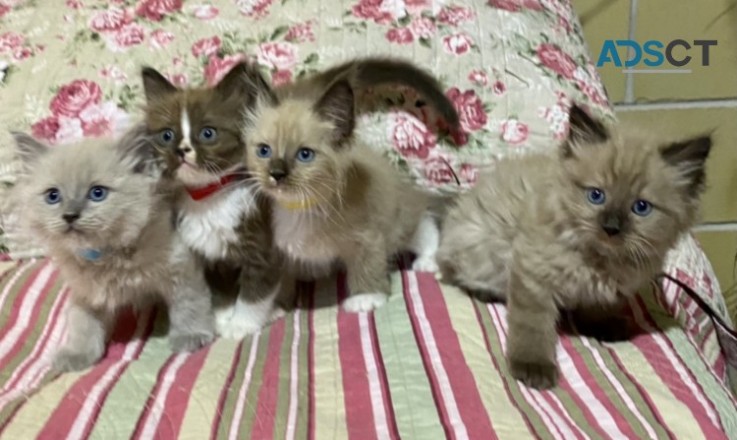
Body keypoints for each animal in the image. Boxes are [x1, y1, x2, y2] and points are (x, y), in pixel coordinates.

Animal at [10, 127, 214, 372]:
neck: (105, 255)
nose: (70, 215)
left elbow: (189, 305)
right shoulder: (86, 292)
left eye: (97, 193)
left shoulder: (181, 270)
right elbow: (82, 323)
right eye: (53, 196)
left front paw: (190, 336)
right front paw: (77, 354)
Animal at [141, 63, 284, 338]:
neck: (208, 198)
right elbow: (220, 290)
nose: (182, 149)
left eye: (208, 133)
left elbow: (254, 294)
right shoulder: (207, 253)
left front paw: (241, 326)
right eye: (167, 135)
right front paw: (222, 318)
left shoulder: (263, 247)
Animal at [243, 74, 436, 312]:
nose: (276, 174)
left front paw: (366, 298)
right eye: (264, 151)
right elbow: (281, 283)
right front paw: (278, 306)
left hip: (402, 219)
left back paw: (427, 262)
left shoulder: (367, 237)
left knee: (424, 227)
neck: (301, 207)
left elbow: (367, 266)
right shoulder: (280, 252)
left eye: (304, 154)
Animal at [434, 105, 712, 388]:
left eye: (641, 207)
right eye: (596, 195)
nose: (611, 227)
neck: (599, 260)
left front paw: (604, 326)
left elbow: (596, 310)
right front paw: (533, 366)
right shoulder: (532, 275)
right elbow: (532, 327)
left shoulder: (606, 292)